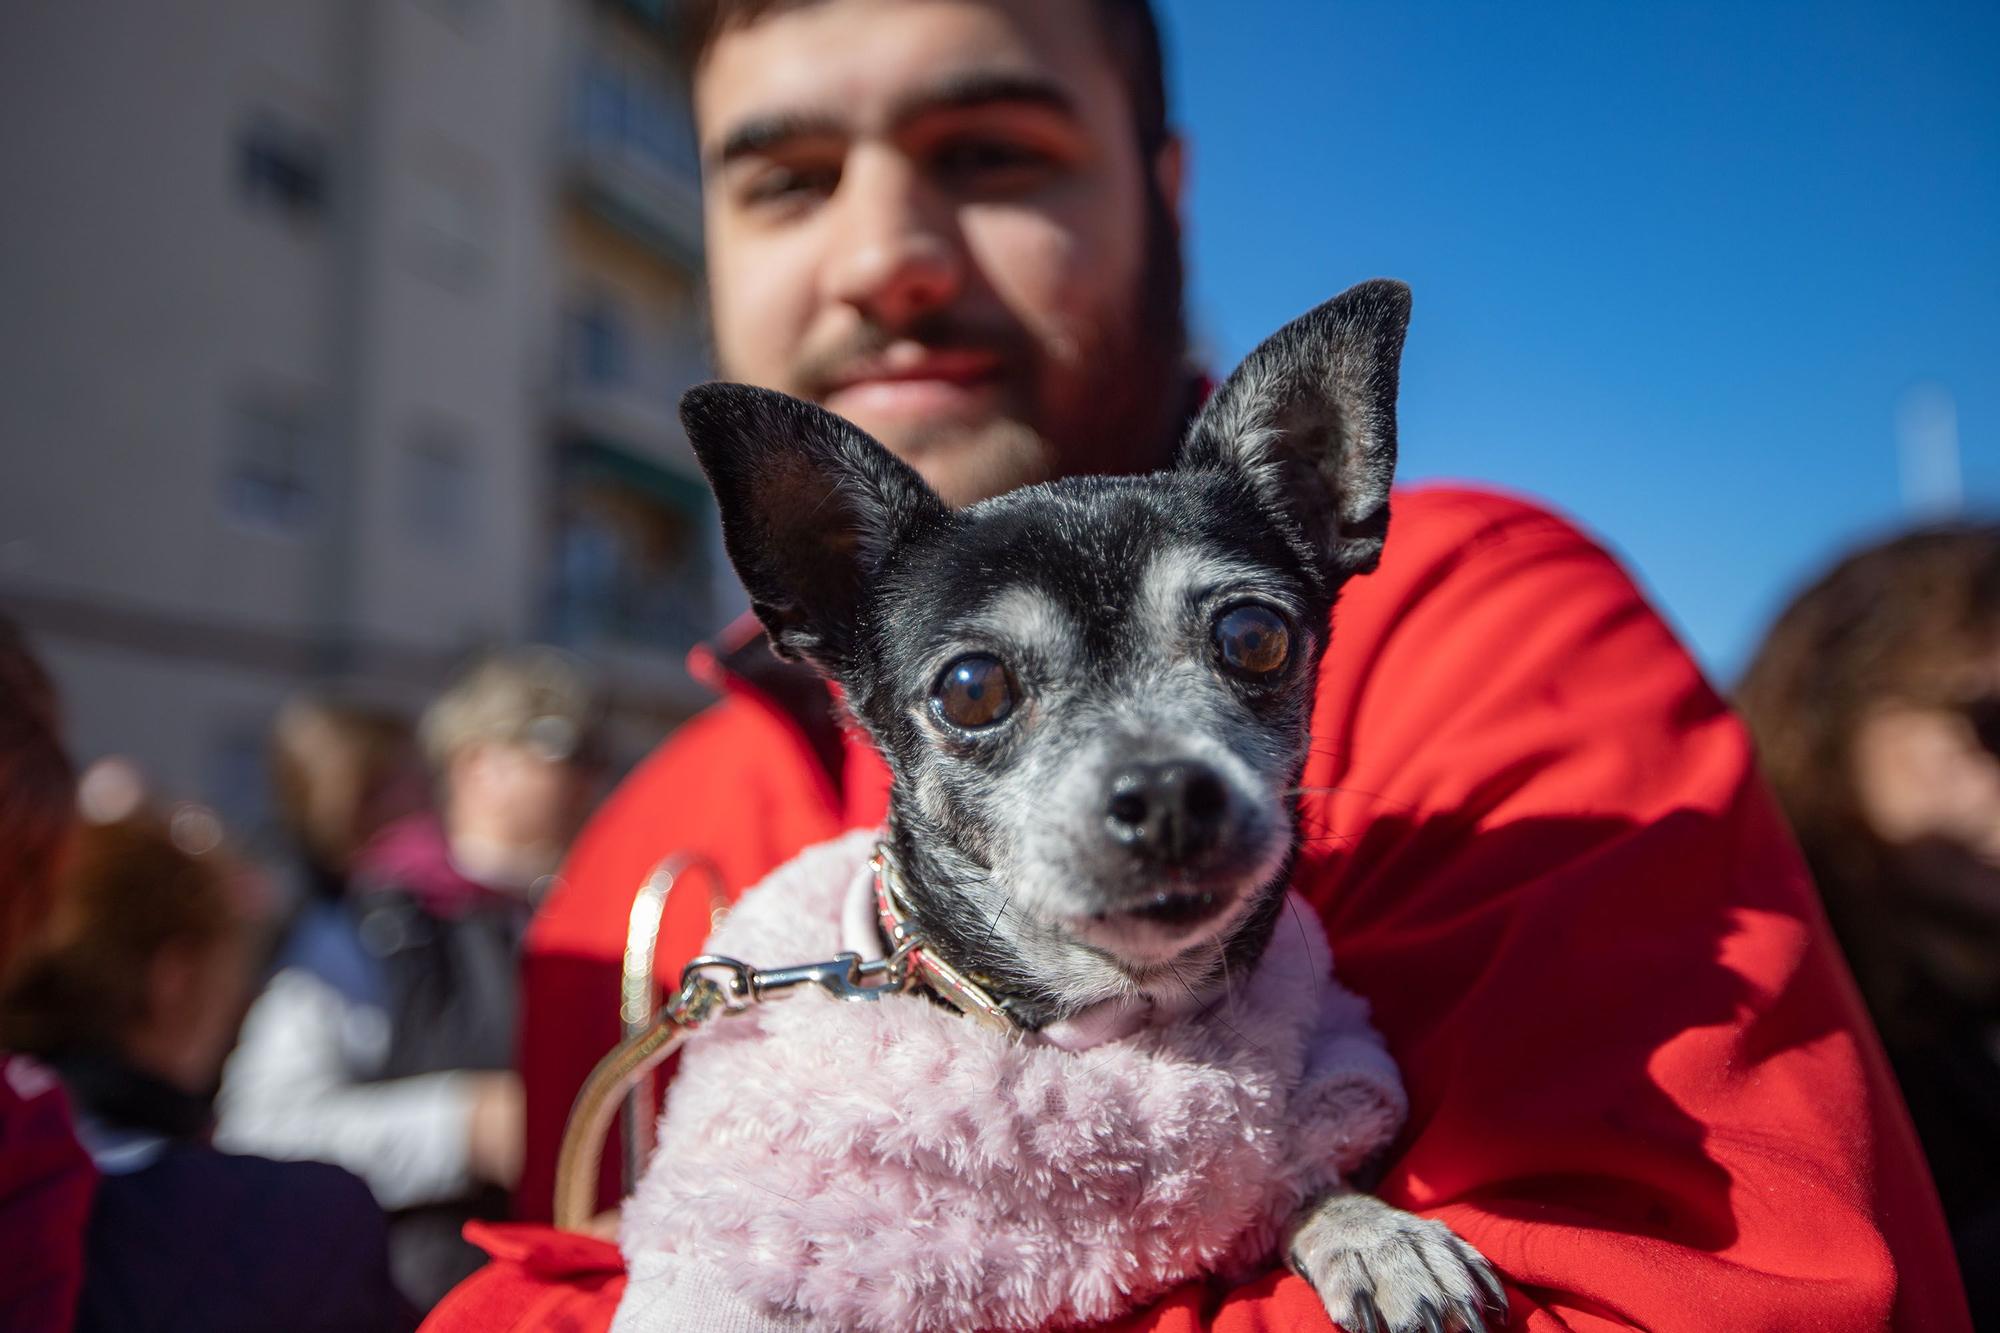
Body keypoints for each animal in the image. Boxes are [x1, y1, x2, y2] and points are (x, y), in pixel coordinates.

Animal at [680, 280, 1496, 1328]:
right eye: (971, 688)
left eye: (1255, 636)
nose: (1167, 788)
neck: (1108, 1011)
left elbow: (1294, 1170)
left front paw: (1373, 1228)